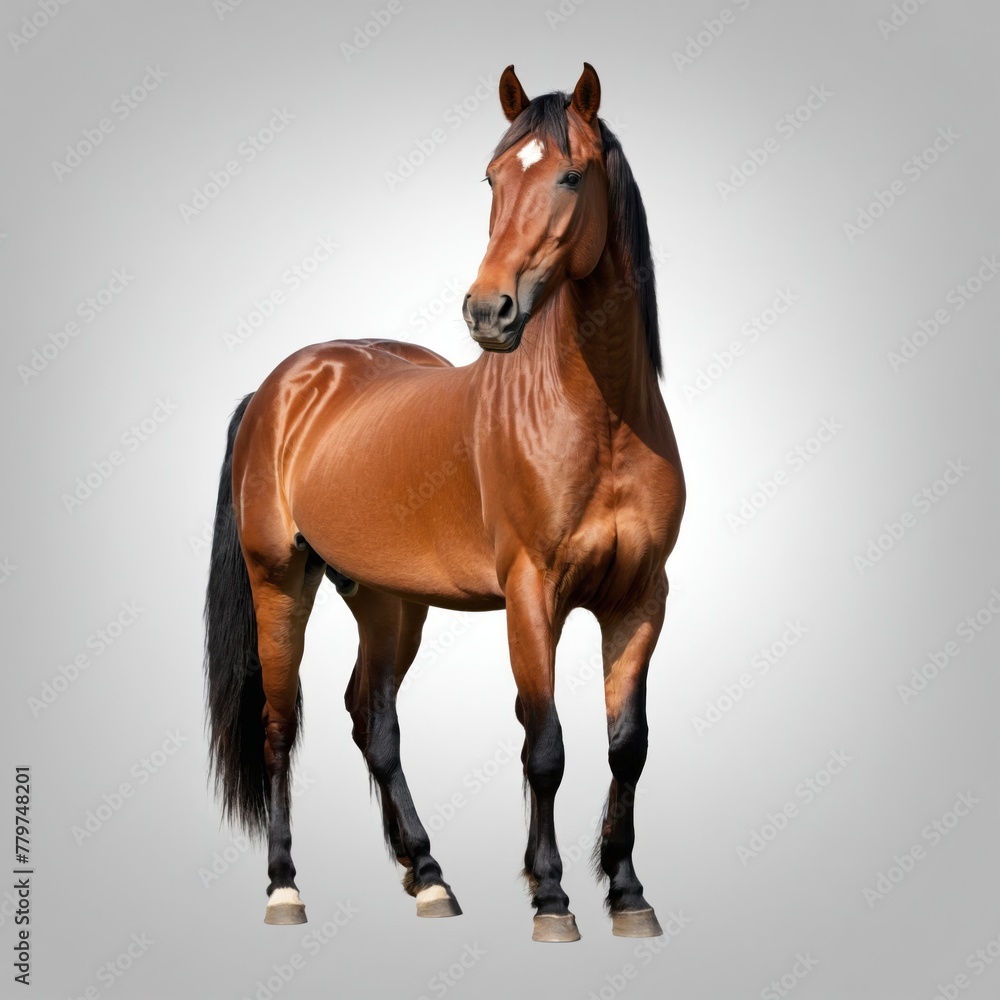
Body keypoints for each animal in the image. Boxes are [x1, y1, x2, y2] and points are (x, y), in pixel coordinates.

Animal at [204, 63, 685, 943]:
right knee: (281, 726)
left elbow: (626, 745)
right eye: (492, 178)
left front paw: (629, 894)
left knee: (372, 719)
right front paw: (552, 897)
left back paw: (427, 875)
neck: (599, 419)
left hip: (388, 599)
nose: (488, 312)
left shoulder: (641, 599)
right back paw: (285, 887)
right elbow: (545, 745)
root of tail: (282, 386)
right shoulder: (532, 596)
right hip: (279, 581)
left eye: (570, 175)